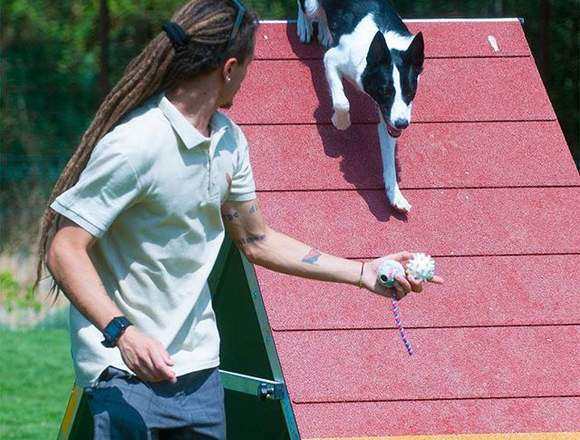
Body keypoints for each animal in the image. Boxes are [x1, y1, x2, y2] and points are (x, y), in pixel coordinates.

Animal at [296, 0, 424, 213]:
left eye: (409, 92)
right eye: (385, 91)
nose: (402, 124)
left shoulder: (388, 116)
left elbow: (388, 157)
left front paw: (395, 194)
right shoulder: (333, 58)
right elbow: (342, 101)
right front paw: (340, 122)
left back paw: (324, 30)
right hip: (310, 6)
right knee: (306, 9)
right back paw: (304, 25)